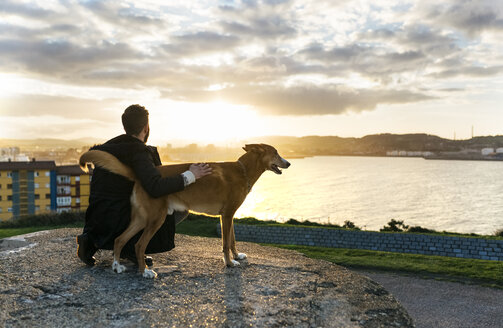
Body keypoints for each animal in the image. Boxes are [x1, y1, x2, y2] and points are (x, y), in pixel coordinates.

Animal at [79, 143, 292, 276]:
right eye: (275, 152)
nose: (289, 163)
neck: (243, 171)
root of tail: (143, 177)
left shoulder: (229, 216)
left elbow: (232, 240)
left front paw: (237, 256)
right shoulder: (227, 215)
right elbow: (225, 242)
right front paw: (230, 263)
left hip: (141, 219)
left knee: (119, 239)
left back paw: (117, 266)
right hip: (156, 218)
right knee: (139, 245)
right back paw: (144, 272)